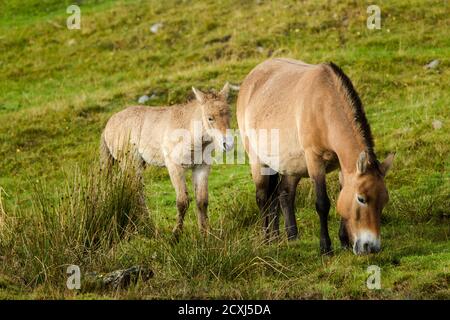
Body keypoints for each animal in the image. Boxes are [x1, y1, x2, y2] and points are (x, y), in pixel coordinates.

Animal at [236, 58, 394, 255]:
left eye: (384, 200)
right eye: (361, 199)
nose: (371, 247)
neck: (324, 106)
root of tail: (249, 80)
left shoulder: (342, 164)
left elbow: (341, 196)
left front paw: (344, 242)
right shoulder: (315, 160)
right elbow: (322, 203)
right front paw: (326, 248)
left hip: (289, 165)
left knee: (283, 194)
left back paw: (288, 238)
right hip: (258, 161)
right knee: (263, 197)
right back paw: (267, 240)